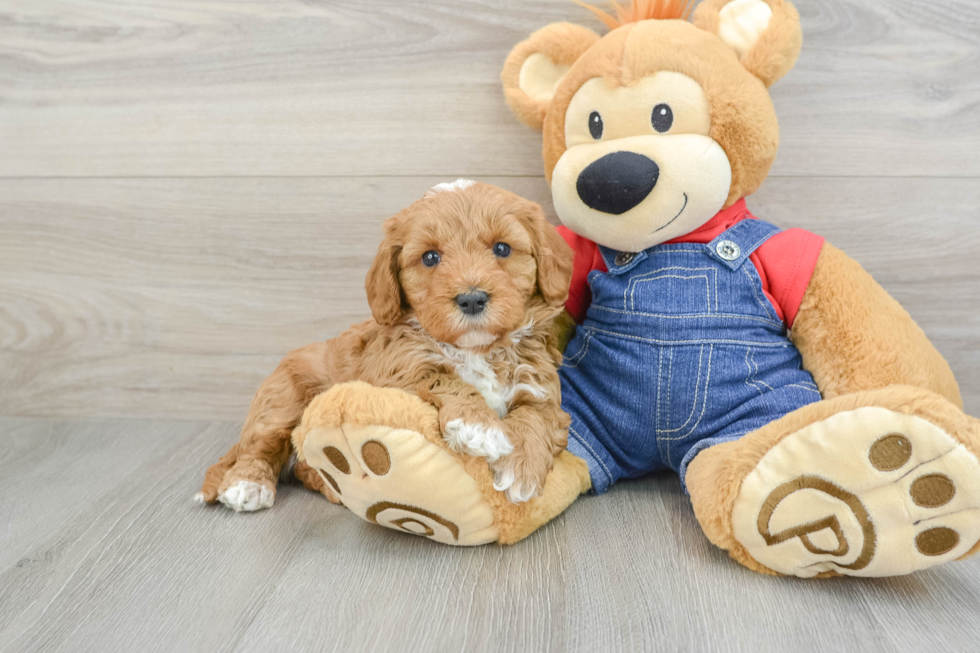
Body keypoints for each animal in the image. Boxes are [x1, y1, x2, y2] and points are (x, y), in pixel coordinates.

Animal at [201, 181, 576, 506]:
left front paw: (520, 469)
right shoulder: (393, 373)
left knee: (305, 465)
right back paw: (247, 485)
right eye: (430, 257)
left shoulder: (540, 385)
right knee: (260, 445)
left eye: (502, 248)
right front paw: (478, 425)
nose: (471, 299)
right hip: (282, 399)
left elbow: (537, 416)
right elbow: (442, 378)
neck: (477, 350)